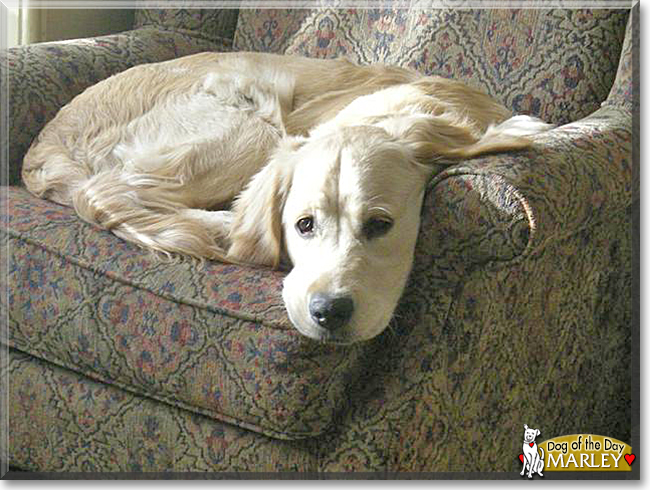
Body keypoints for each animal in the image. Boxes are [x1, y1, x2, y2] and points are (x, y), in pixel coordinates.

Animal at [21, 51, 548, 344]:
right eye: (303, 225)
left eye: (380, 225)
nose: (328, 313)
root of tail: (45, 142)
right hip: (252, 120)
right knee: (109, 190)